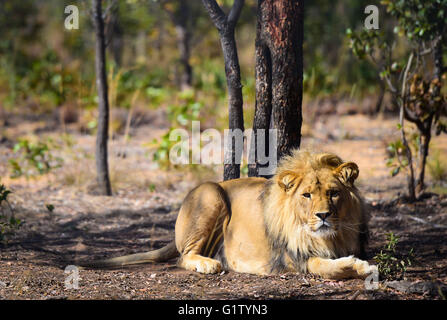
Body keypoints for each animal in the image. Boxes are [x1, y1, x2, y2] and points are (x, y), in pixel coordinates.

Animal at [83, 149, 378, 278]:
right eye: (306, 195)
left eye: (333, 193)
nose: (323, 215)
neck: (330, 237)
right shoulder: (294, 259)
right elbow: (326, 267)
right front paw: (360, 267)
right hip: (211, 194)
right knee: (183, 256)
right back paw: (208, 264)